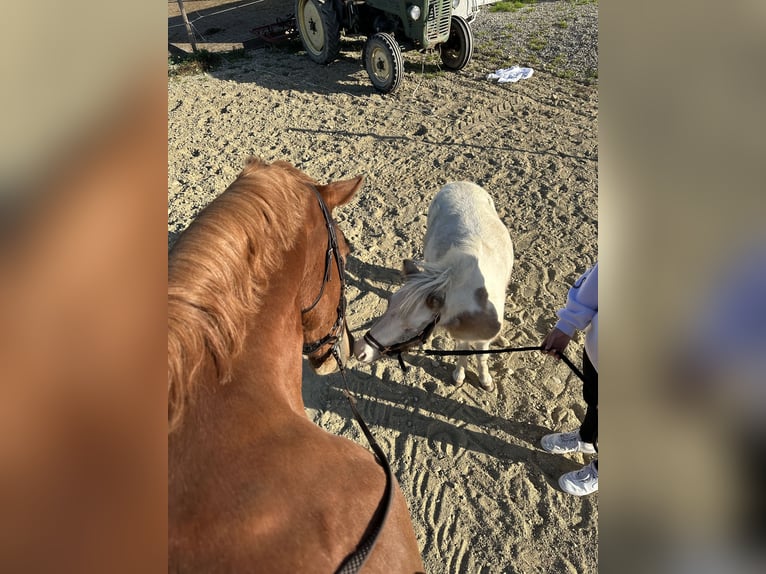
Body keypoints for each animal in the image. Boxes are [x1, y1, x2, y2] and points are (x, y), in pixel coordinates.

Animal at [356, 182, 516, 394]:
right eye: (388, 306)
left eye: (411, 328)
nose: (360, 351)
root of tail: (459, 183)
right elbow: (462, 349)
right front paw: (459, 375)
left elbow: (481, 356)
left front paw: (485, 380)